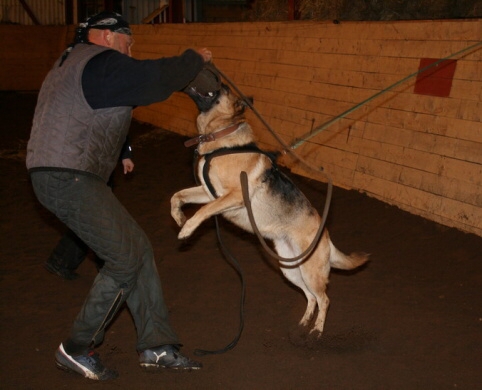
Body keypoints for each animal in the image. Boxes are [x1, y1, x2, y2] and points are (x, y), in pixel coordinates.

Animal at [170, 83, 370, 342]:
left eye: (221, 91)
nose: (219, 82)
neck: (223, 137)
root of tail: (326, 235)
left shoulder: (232, 196)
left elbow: (203, 209)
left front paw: (187, 229)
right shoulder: (208, 192)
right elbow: (177, 196)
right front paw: (179, 217)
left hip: (310, 273)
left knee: (324, 299)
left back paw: (316, 330)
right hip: (291, 269)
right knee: (311, 297)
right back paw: (303, 323)